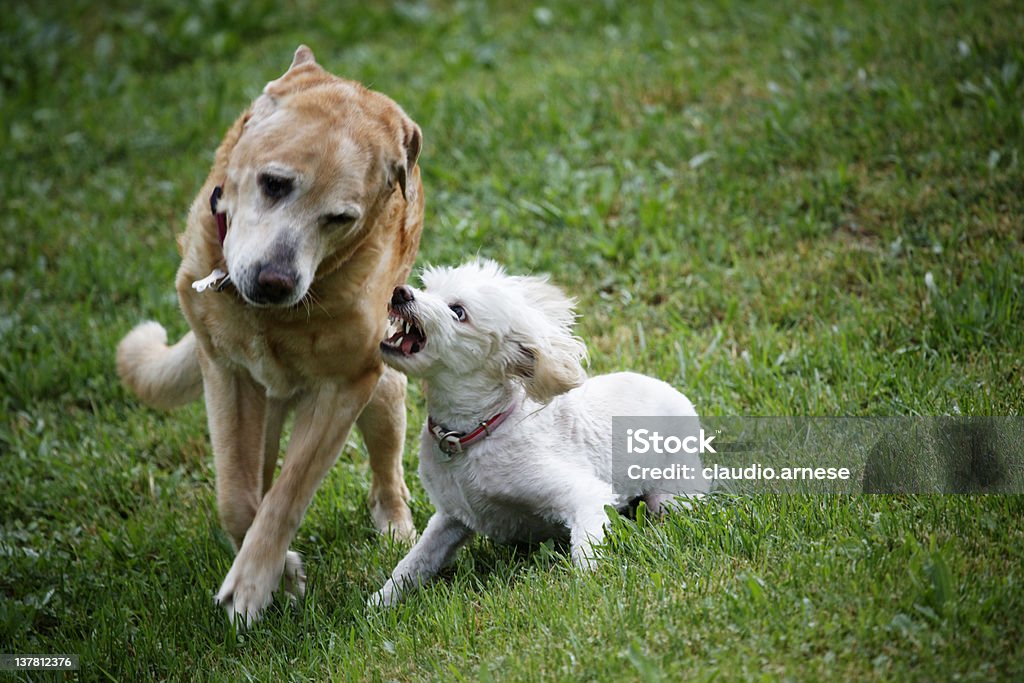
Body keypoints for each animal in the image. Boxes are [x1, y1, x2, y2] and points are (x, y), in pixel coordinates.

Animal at [117, 45, 421, 626]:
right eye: (274, 183)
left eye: (339, 217)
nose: (275, 281)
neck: (271, 319)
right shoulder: (226, 372)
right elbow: (237, 496)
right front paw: (281, 571)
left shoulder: (345, 387)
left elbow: (289, 492)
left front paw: (254, 583)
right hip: (264, 404)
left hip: (381, 395)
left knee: (386, 469)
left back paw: (396, 526)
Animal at [370, 262, 712, 610]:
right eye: (428, 288)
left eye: (458, 311)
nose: (400, 292)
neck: (475, 433)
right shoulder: (451, 518)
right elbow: (413, 564)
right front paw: (378, 604)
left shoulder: (584, 496)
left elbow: (586, 551)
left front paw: (588, 589)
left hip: (672, 496)